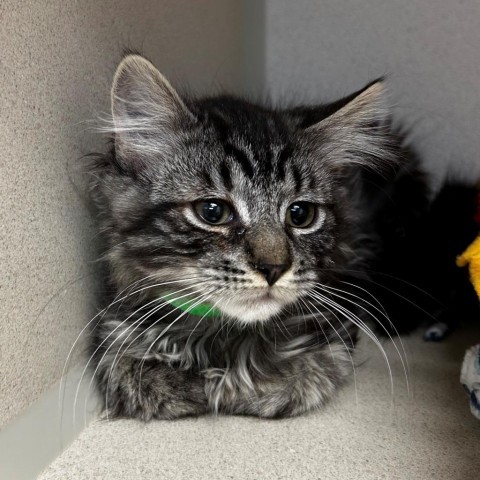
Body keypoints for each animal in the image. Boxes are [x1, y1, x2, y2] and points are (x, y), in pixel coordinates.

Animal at [88, 53, 434, 420]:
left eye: (300, 214)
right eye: (212, 212)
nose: (273, 269)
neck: (220, 337)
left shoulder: (335, 333)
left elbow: (301, 376)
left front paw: (243, 388)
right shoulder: (115, 329)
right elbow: (133, 375)